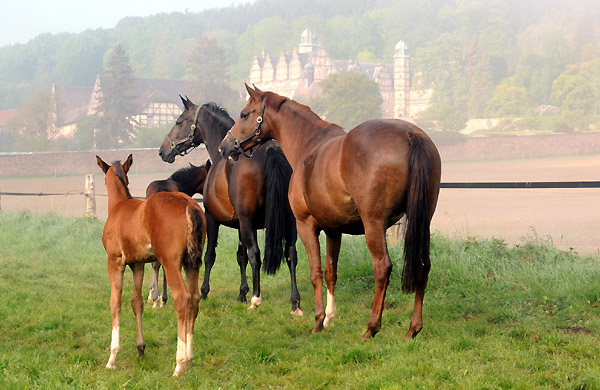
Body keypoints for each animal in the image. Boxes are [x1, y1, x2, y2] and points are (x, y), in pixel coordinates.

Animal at [159, 99, 302, 316]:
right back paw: (295, 302)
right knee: (291, 254)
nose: (162, 151)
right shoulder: (241, 224)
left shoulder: (213, 219)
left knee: (256, 255)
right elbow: (240, 256)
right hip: (288, 220)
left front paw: (204, 292)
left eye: (178, 121)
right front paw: (242, 293)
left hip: (248, 222)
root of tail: (271, 149)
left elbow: (210, 256)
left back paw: (256, 299)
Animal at [220, 84, 440, 338]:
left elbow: (315, 272)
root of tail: (410, 133)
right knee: (423, 265)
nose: (224, 146)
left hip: (374, 225)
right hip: (423, 222)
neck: (309, 144)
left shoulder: (306, 226)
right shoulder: (334, 230)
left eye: (244, 114)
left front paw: (318, 321)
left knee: (382, 268)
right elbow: (330, 272)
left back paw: (371, 328)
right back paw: (413, 329)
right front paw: (329, 318)